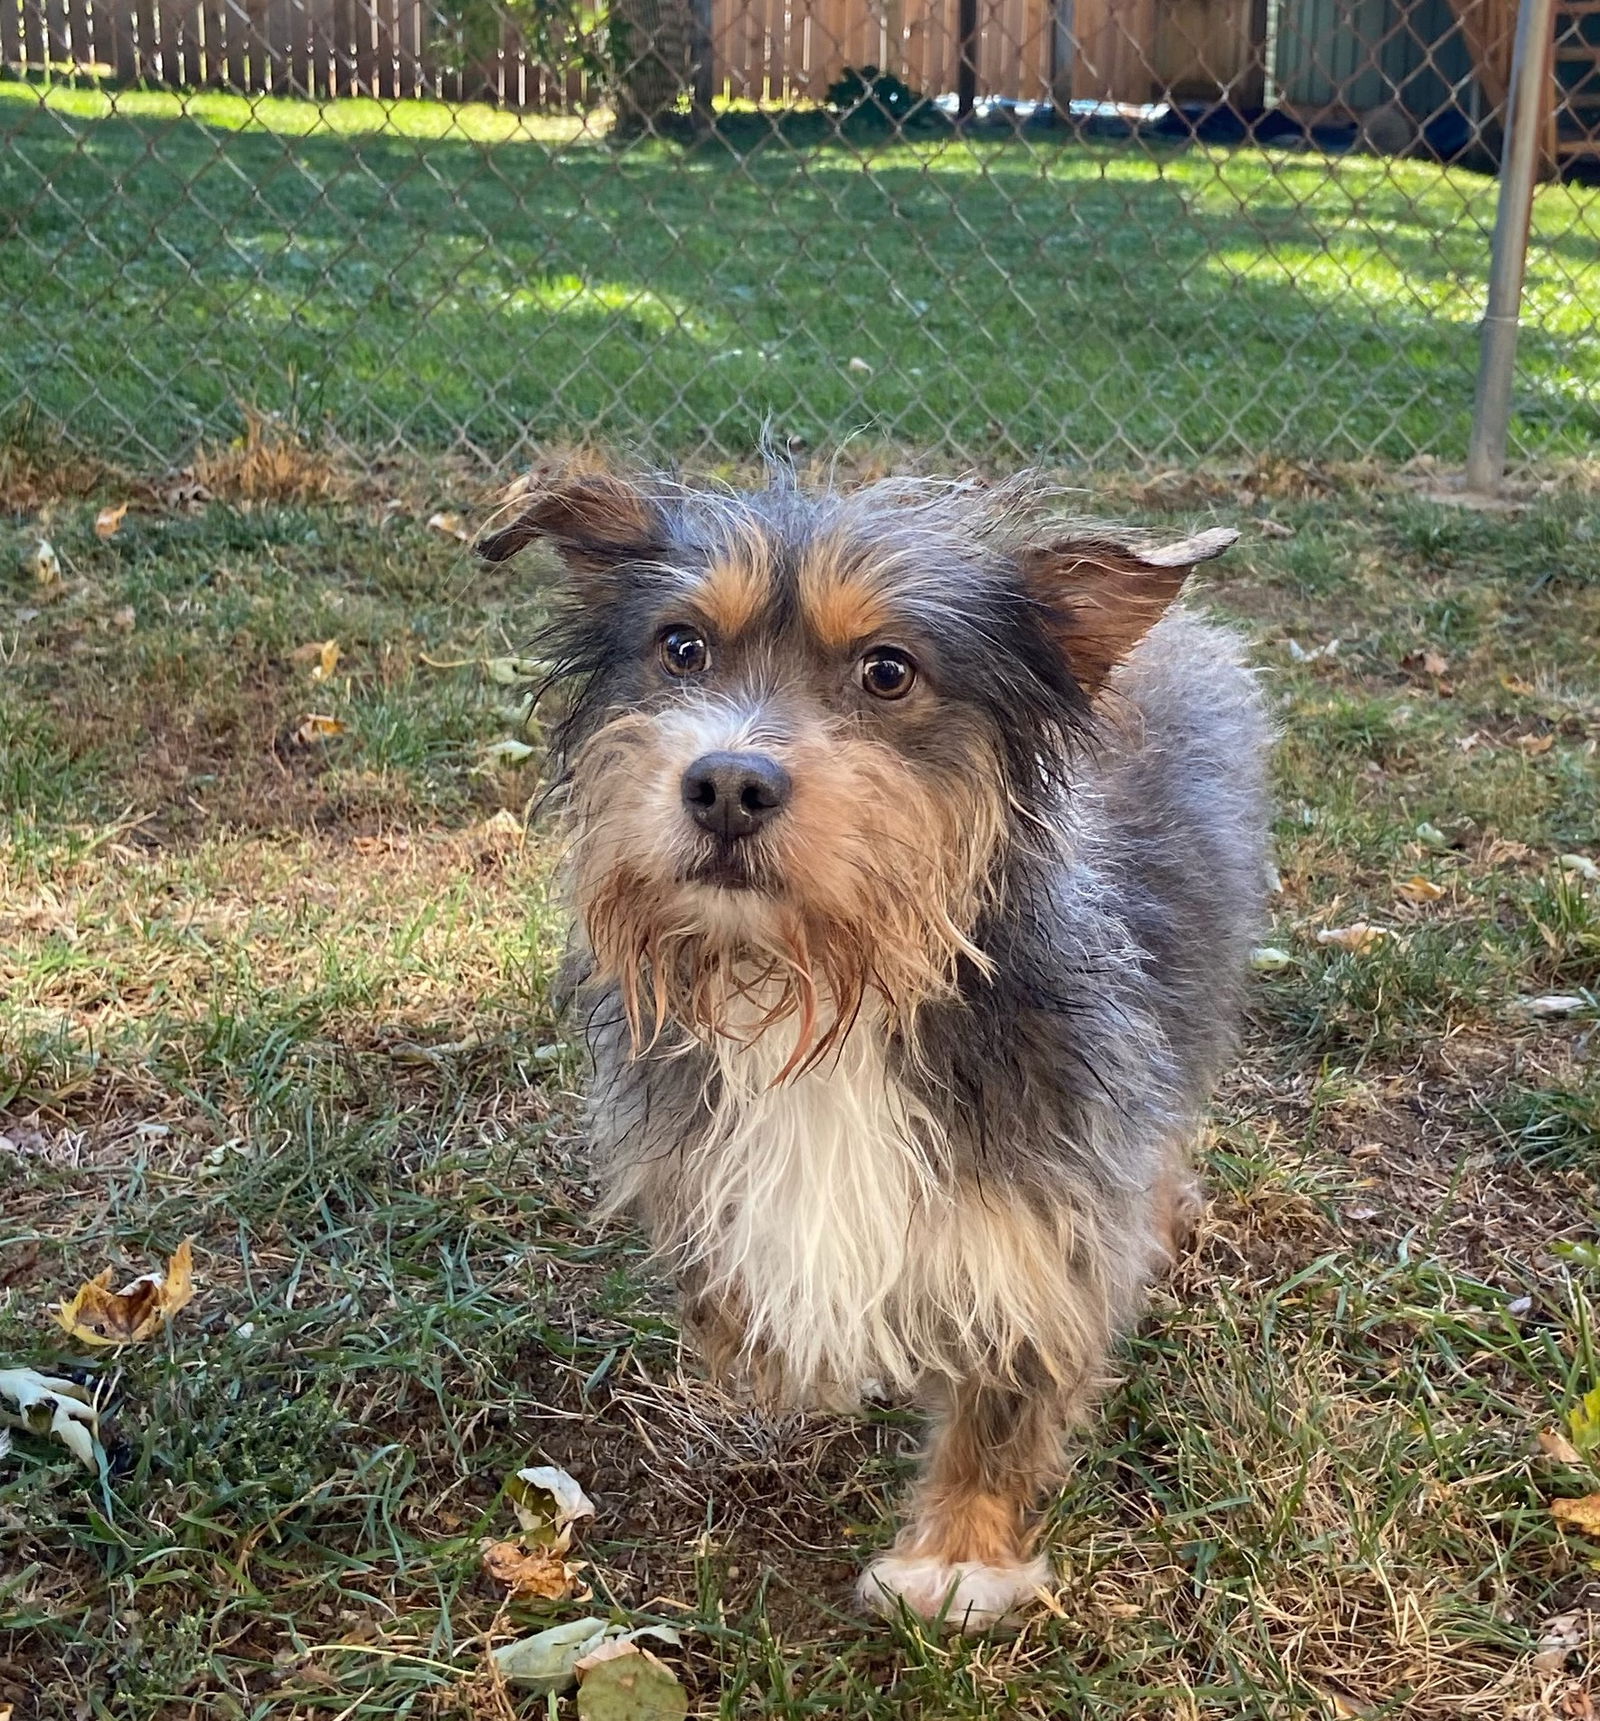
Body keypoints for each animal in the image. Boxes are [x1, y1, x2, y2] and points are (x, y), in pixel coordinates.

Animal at [471, 454, 1259, 1624]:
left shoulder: (1047, 1193)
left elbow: (1012, 1371)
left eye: (888, 671)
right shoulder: (693, 1147)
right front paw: (787, 1356)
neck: (829, 982)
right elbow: (732, 1285)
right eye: (682, 646)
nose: (726, 783)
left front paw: (960, 1556)